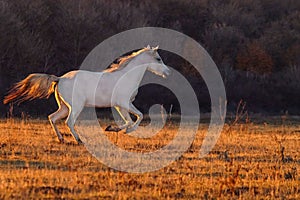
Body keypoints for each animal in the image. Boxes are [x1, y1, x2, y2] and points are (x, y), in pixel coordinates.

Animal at [3, 45, 170, 144]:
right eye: (158, 59)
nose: (167, 72)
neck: (126, 77)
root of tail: (60, 78)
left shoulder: (120, 106)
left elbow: (129, 120)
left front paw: (113, 128)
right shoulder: (124, 103)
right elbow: (139, 116)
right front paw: (121, 129)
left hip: (64, 107)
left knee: (52, 118)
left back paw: (61, 139)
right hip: (76, 107)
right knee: (69, 122)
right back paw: (78, 140)